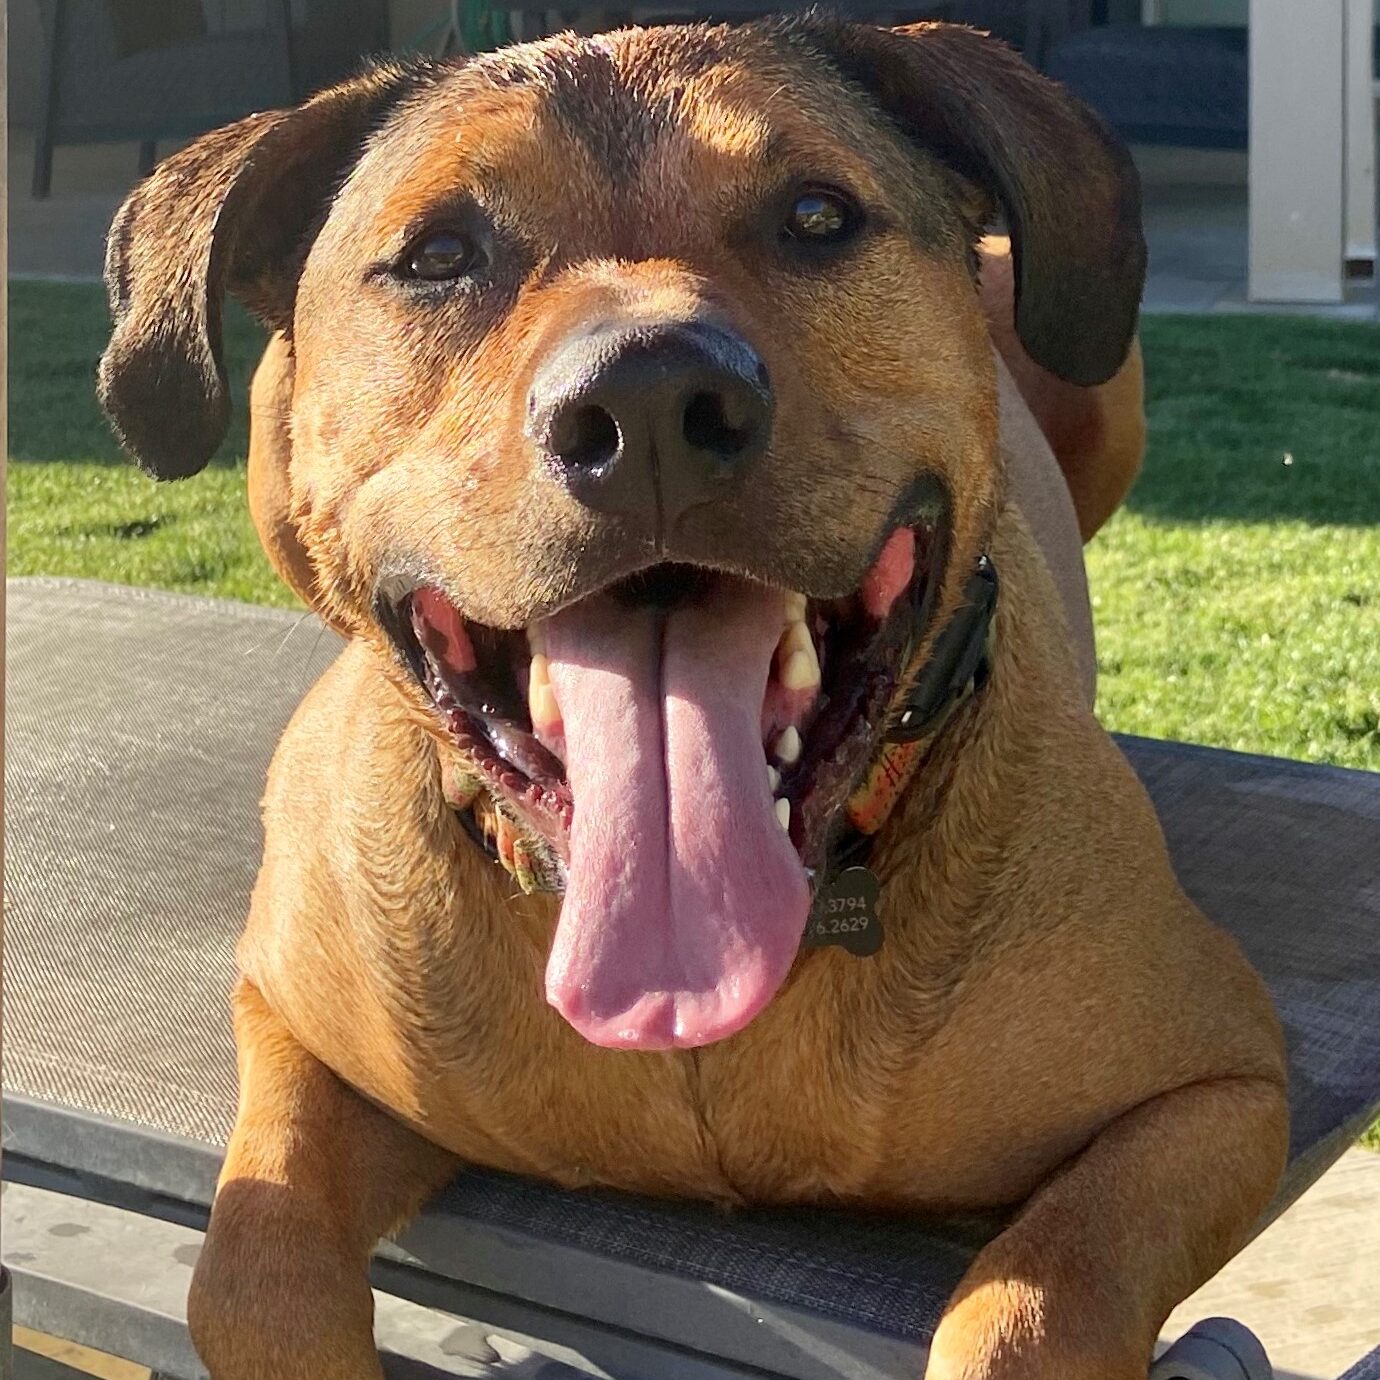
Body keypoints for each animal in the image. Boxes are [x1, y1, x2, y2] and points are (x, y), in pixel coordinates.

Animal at [97, 16, 1280, 1374]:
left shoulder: (1218, 1090)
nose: (651, 403)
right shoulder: (292, 1028)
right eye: (440, 253)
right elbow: (253, 1268)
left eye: (817, 214)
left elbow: (1043, 1295)